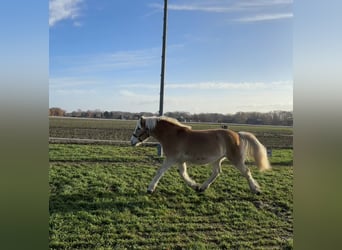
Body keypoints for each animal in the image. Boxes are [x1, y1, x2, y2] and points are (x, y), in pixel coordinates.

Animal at [130, 116, 272, 194]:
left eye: (138, 128)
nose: (131, 141)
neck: (173, 135)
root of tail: (238, 134)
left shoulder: (171, 158)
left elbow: (160, 172)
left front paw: (150, 189)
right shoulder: (180, 160)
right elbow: (182, 173)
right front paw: (194, 185)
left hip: (235, 159)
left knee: (246, 172)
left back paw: (256, 190)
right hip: (217, 159)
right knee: (217, 172)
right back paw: (202, 187)